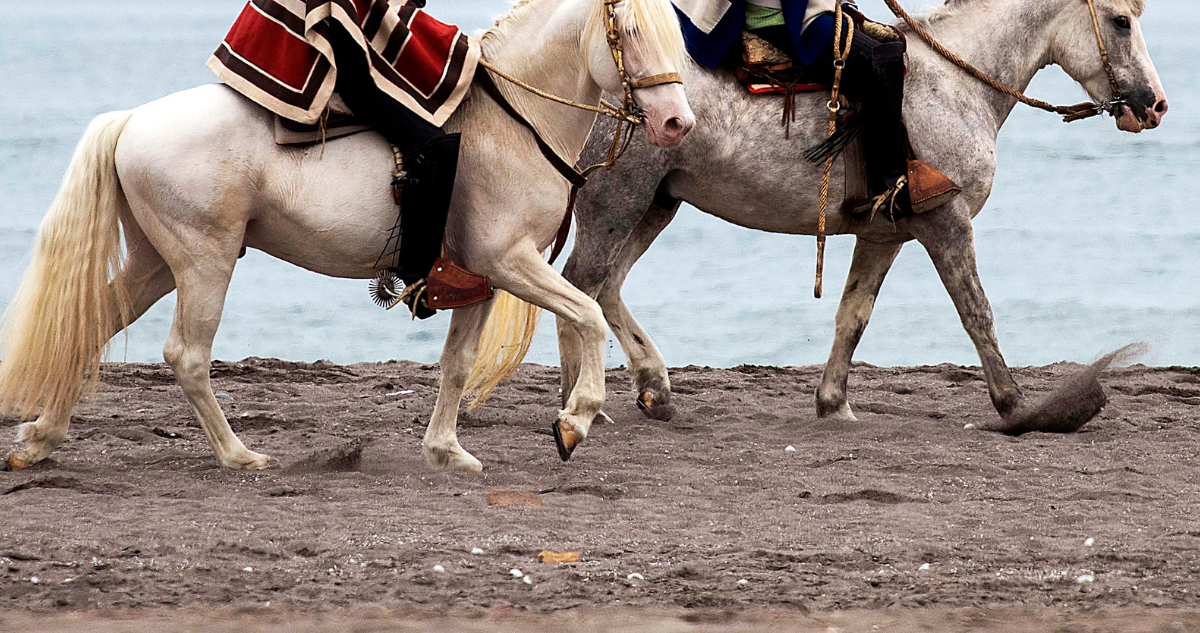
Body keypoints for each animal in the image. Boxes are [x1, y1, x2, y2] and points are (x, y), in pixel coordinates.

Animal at [0, 0, 694, 473]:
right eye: (633, 33)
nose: (677, 123)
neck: (514, 123)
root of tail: (133, 120)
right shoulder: (511, 262)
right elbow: (588, 315)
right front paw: (574, 421)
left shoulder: (479, 278)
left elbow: (456, 364)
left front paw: (446, 451)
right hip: (204, 260)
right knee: (187, 356)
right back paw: (237, 455)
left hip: (156, 262)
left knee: (95, 320)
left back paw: (39, 439)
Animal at [543, 0, 1167, 458]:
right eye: (1120, 20)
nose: (1154, 104)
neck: (953, 85)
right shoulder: (947, 223)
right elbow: (976, 311)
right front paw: (1017, 407)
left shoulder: (882, 235)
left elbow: (854, 316)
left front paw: (833, 403)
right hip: (618, 199)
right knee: (583, 285)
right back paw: (579, 405)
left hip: (657, 202)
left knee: (607, 286)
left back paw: (654, 389)